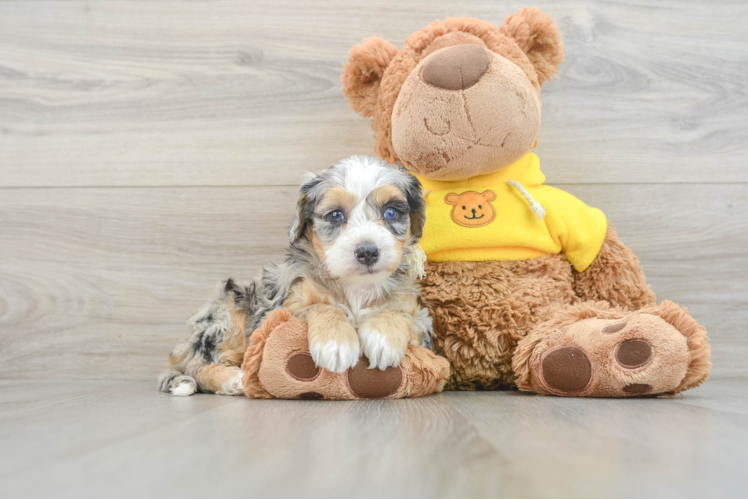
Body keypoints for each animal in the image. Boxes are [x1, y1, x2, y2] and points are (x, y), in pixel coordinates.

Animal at [161, 154, 436, 396]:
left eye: (391, 212)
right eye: (335, 215)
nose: (367, 252)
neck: (355, 288)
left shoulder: (422, 322)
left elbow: (400, 314)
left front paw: (382, 339)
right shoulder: (279, 310)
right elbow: (322, 307)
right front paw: (335, 343)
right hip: (227, 314)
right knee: (197, 366)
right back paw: (234, 379)